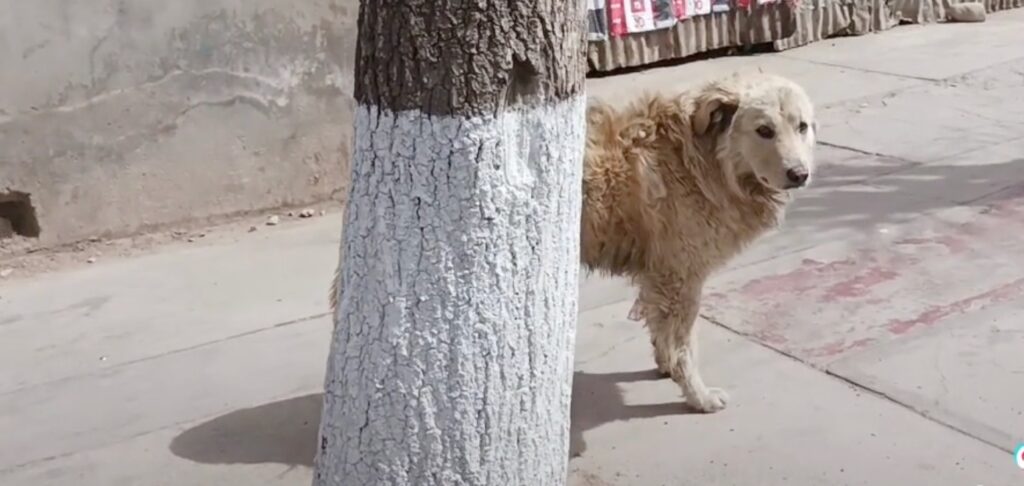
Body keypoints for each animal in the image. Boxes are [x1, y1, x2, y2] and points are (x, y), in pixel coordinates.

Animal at [585, 73, 815, 415]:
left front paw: (665, 365)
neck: (700, 160)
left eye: (802, 126)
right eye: (764, 130)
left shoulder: (659, 275)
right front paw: (698, 396)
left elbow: (660, 329)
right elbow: (685, 346)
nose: (799, 174)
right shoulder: (682, 278)